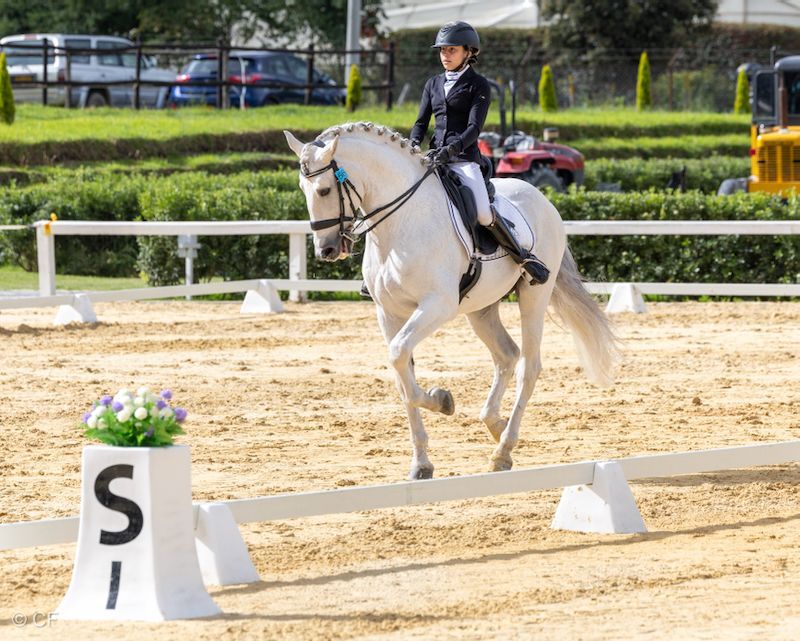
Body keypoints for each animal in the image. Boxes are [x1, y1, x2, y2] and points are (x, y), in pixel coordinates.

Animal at [284, 122, 620, 480]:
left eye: (323, 191)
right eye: (302, 189)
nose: (327, 250)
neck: (400, 223)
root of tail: (541, 197)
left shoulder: (437, 305)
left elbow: (399, 356)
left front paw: (441, 400)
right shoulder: (388, 313)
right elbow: (402, 375)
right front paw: (422, 461)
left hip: (534, 294)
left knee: (529, 366)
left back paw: (503, 450)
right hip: (482, 308)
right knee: (506, 354)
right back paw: (495, 424)